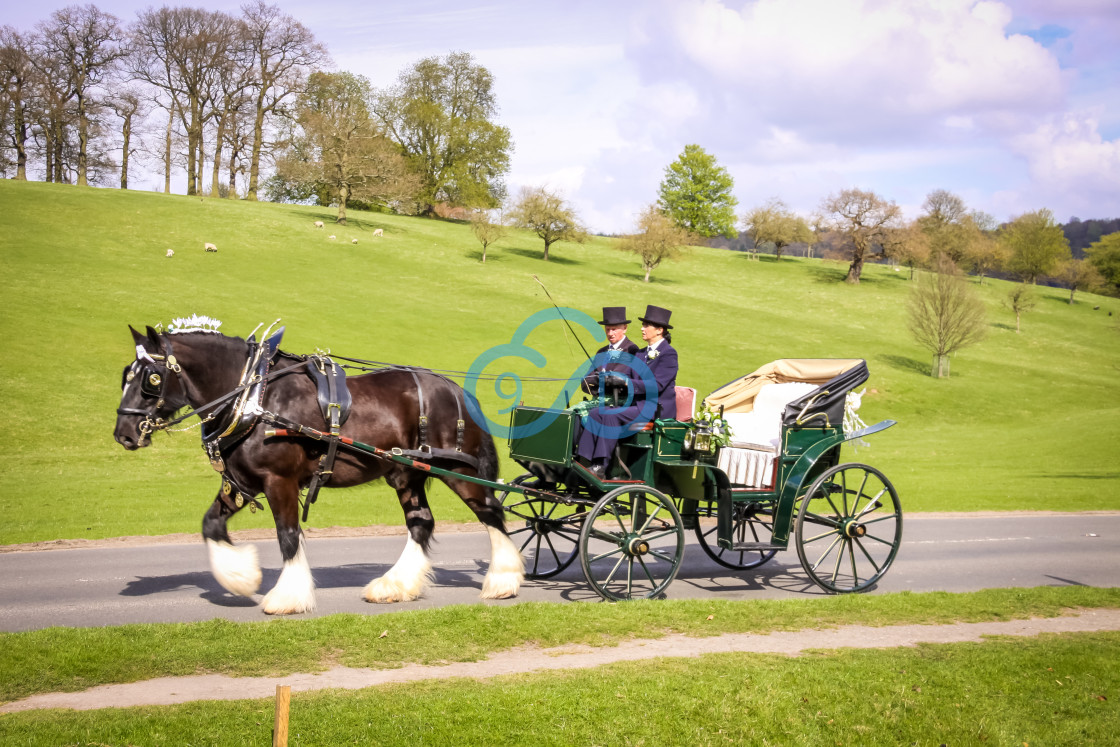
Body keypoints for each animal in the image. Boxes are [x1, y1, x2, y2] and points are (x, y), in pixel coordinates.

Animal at [111, 324, 521, 618]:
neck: (255, 399)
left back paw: (503, 580)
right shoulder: (242, 482)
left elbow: (288, 536)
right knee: (422, 523)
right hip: (407, 473)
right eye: (126, 374)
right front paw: (242, 578)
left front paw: (287, 597)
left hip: (456, 469)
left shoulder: (279, 481)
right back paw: (395, 586)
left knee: (490, 512)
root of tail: (455, 389)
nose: (124, 434)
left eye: (150, 379)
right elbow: (211, 524)